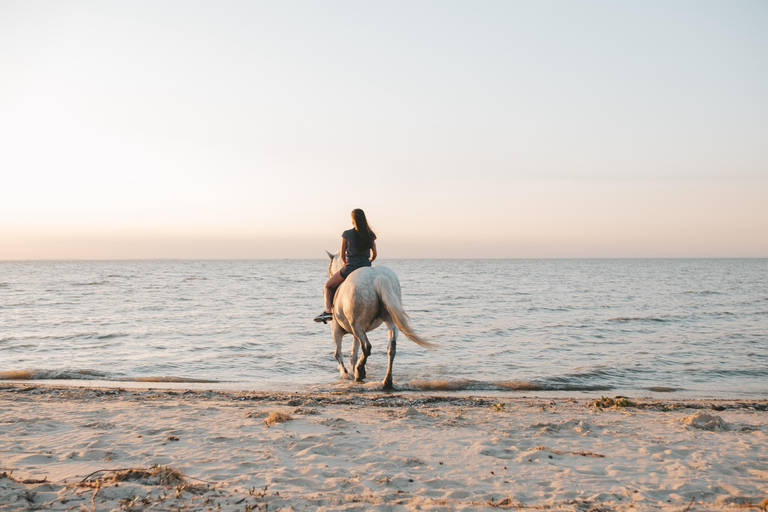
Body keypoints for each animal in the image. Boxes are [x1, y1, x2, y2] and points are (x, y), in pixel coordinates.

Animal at [324, 251, 435, 389]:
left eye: (329, 266)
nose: (329, 274)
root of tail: (378, 276)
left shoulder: (337, 330)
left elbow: (338, 354)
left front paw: (346, 374)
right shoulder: (355, 334)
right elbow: (353, 355)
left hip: (357, 325)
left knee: (367, 347)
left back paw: (360, 372)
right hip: (390, 321)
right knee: (391, 348)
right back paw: (387, 380)